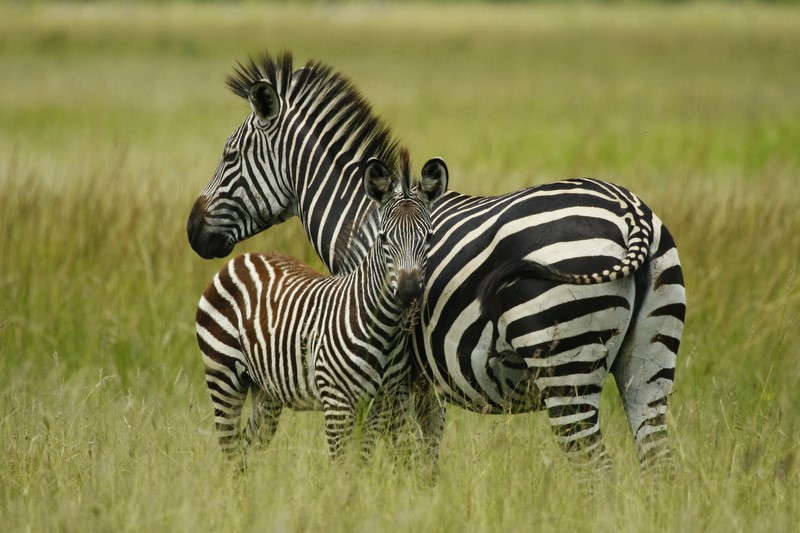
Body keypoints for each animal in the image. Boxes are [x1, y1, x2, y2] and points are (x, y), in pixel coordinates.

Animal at [195, 148, 448, 462]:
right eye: (383, 238)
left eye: (429, 237)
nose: (409, 290)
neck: (383, 330)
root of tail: (240, 259)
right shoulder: (337, 404)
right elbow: (342, 466)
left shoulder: (379, 403)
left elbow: (362, 464)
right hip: (223, 376)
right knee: (229, 452)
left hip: (266, 391)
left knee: (245, 450)